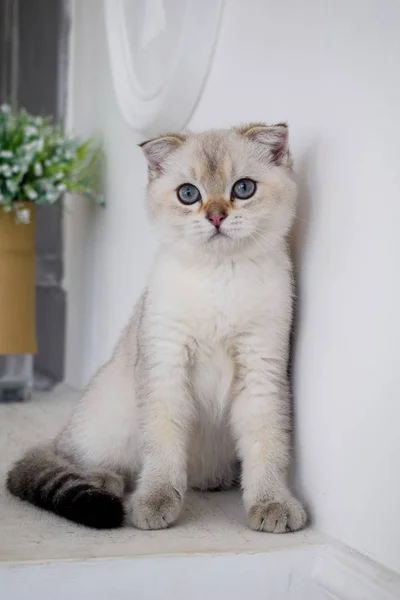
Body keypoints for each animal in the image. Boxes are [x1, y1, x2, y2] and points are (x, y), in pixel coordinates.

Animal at [7, 120, 306, 528]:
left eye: (243, 189)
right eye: (188, 194)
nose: (215, 217)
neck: (219, 275)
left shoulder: (262, 371)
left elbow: (268, 446)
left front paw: (272, 503)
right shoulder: (166, 366)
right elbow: (162, 448)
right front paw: (155, 502)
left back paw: (213, 480)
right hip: (109, 411)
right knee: (69, 457)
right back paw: (105, 479)